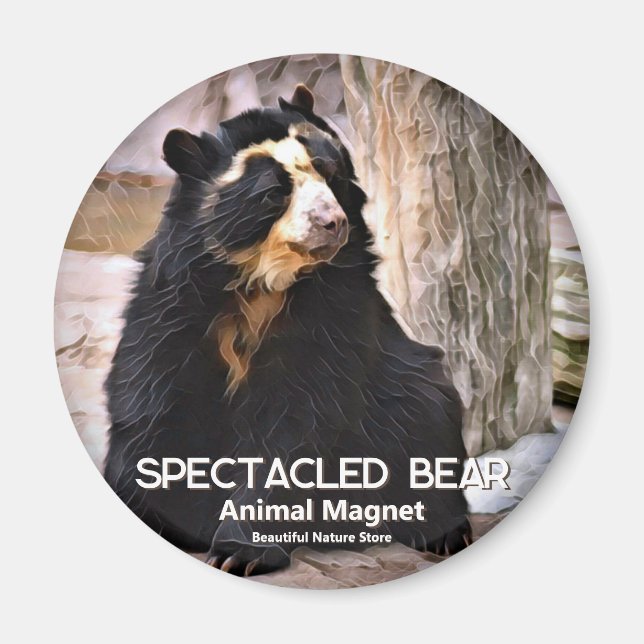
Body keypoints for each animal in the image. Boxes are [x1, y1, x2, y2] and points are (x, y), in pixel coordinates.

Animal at [104, 84, 471, 576]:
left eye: (330, 173)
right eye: (273, 194)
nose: (332, 223)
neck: (263, 283)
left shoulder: (332, 312)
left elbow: (297, 420)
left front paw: (240, 551)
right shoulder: (172, 306)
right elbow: (150, 399)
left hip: (409, 390)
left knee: (426, 417)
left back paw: (441, 531)